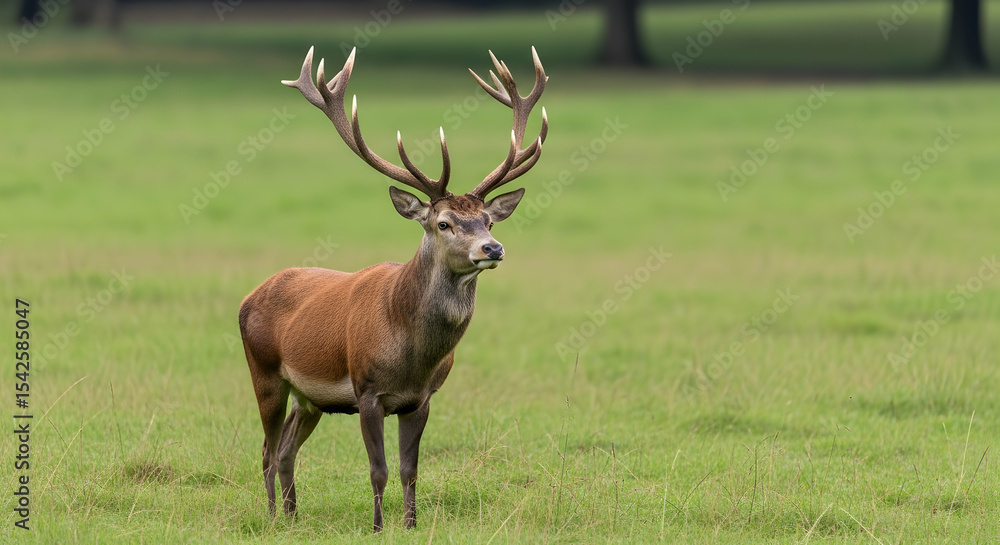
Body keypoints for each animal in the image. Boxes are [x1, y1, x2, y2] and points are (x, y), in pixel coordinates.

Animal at [238, 45, 547, 532]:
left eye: (489, 221)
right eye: (444, 223)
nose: (492, 248)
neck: (412, 357)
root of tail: (250, 295)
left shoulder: (421, 399)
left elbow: (410, 469)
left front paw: (411, 524)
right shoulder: (367, 391)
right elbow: (378, 468)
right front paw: (379, 526)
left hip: (310, 399)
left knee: (286, 449)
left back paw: (291, 515)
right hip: (264, 371)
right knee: (268, 450)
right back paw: (271, 517)